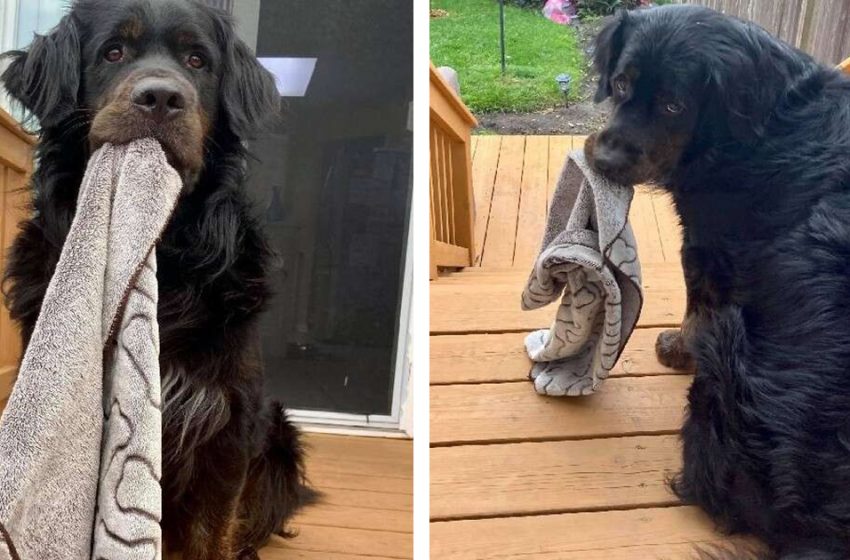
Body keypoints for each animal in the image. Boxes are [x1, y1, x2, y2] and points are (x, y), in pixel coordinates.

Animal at [0, 1, 312, 560]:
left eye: (197, 61)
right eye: (113, 52)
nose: (162, 97)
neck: (166, 253)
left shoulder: (229, 419)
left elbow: (214, 530)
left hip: (277, 437)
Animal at [588, 5, 850, 560]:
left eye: (673, 106)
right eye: (620, 84)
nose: (607, 162)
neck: (766, 121)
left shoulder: (708, 246)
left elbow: (696, 307)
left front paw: (677, 347)